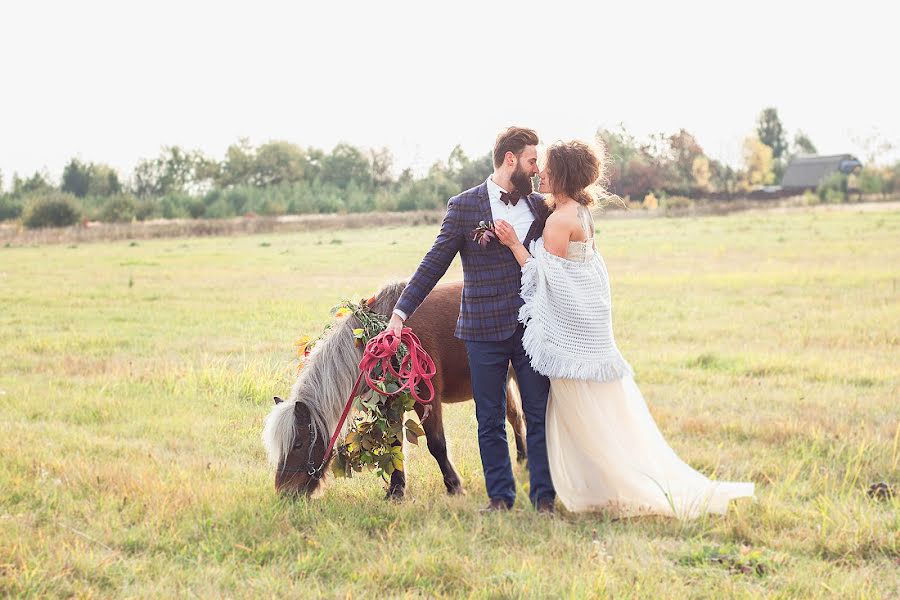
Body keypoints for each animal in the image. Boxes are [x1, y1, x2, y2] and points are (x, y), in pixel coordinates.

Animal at [262, 280, 528, 496]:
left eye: (298, 444)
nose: (285, 493)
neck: (387, 334)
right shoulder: (390, 404)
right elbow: (395, 445)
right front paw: (396, 490)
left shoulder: (426, 399)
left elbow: (436, 444)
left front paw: (454, 486)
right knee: (516, 418)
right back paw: (522, 460)